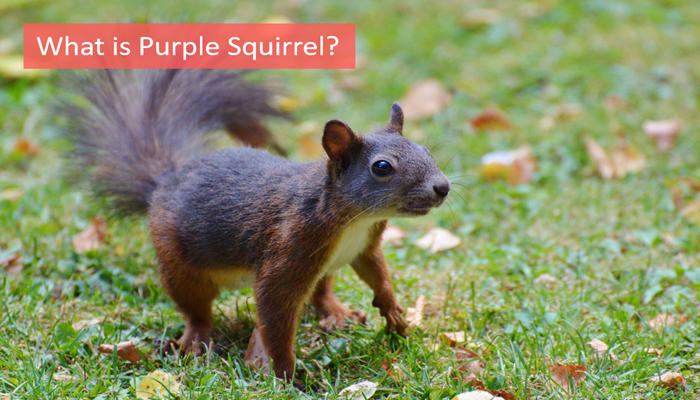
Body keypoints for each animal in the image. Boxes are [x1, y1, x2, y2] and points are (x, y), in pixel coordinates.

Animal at [60, 69, 451, 382]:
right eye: (382, 168)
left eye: (426, 150)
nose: (443, 187)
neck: (353, 219)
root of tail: (164, 182)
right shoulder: (290, 248)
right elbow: (276, 313)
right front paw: (287, 374)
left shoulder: (364, 246)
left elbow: (377, 274)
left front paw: (395, 313)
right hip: (178, 263)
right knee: (195, 306)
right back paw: (197, 339)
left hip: (323, 269)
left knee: (321, 291)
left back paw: (337, 313)